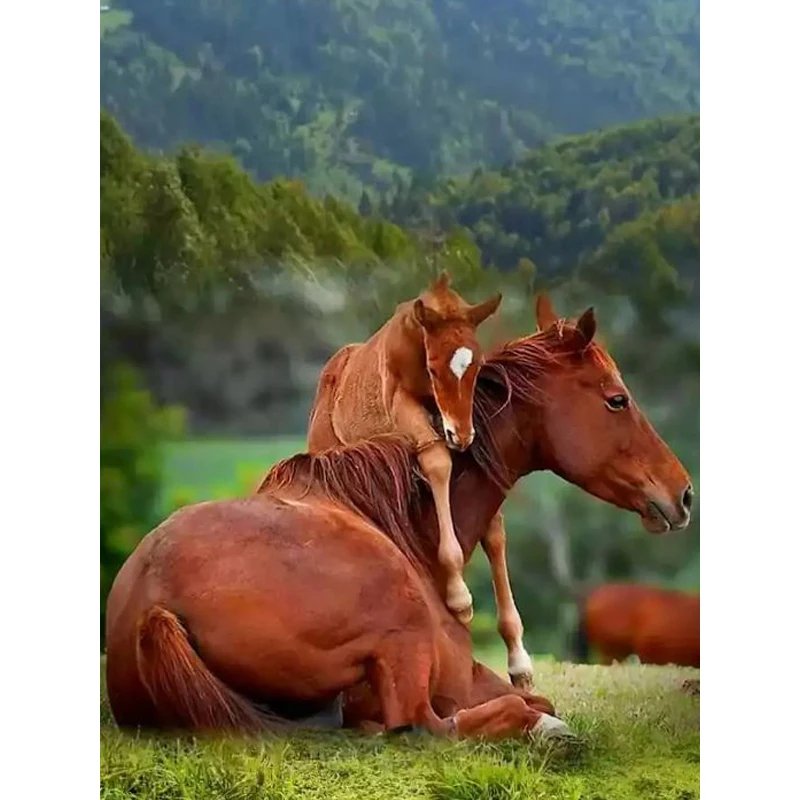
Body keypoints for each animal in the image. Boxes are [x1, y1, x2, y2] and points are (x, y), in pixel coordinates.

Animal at [307, 272, 502, 628]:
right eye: (434, 368)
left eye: (477, 367)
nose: (461, 435)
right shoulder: (401, 404)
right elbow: (437, 461)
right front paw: (459, 597)